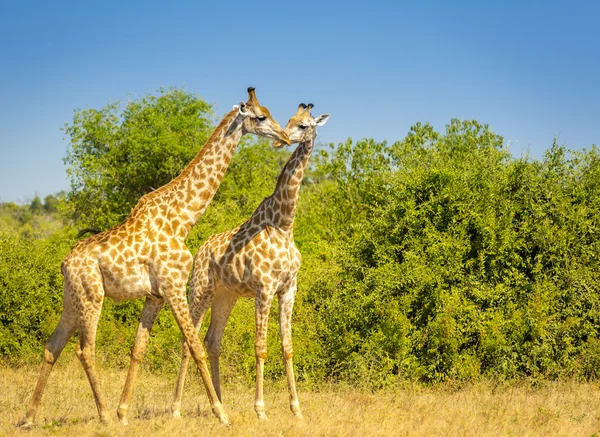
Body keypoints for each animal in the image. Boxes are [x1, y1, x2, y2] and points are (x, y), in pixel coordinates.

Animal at [18, 87, 290, 428]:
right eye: (261, 116)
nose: (284, 136)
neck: (182, 219)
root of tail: (65, 264)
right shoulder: (174, 286)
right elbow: (196, 347)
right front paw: (221, 413)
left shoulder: (155, 295)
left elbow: (138, 349)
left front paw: (124, 413)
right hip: (92, 295)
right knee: (85, 350)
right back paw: (102, 415)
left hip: (72, 297)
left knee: (52, 346)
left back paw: (30, 417)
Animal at [171, 103, 330, 418]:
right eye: (290, 120)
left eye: (303, 125)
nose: (282, 140)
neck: (284, 224)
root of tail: (200, 249)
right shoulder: (264, 288)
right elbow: (260, 346)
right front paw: (260, 410)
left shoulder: (289, 289)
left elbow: (287, 346)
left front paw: (296, 409)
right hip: (201, 290)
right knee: (187, 341)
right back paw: (177, 409)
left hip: (226, 296)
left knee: (213, 340)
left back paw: (219, 405)